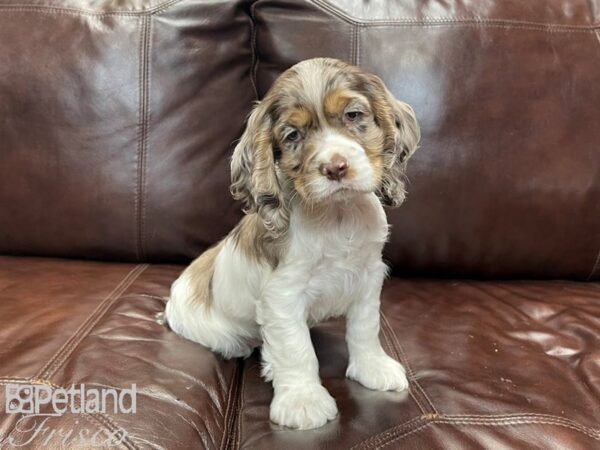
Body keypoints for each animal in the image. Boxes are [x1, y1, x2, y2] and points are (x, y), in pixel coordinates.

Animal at [162, 58, 420, 430]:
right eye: (293, 135)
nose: (335, 167)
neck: (337, 214)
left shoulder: (368, 276)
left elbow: (365, 327)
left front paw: (373, 368)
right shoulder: (283, 295)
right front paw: (303, 401)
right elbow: (297, 350)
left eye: (353, 115)